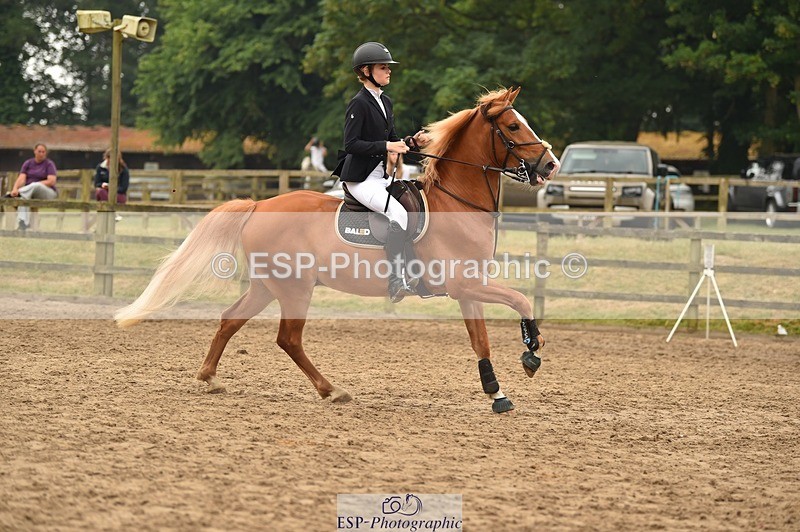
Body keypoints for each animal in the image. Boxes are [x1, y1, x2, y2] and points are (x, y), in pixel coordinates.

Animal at [115, 87, 561, 413]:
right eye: (513, 125)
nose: (551, 164)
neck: (456, 203)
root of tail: (258, 205)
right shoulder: (464, 284)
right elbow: (520, 299)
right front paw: (531, 353)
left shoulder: (468, 288)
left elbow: (480, 340)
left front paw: (497, 393)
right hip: (295, 288)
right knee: (288, 339)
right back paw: (331, 390)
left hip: (267, 285)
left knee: (230, 320)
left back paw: (208, 378)